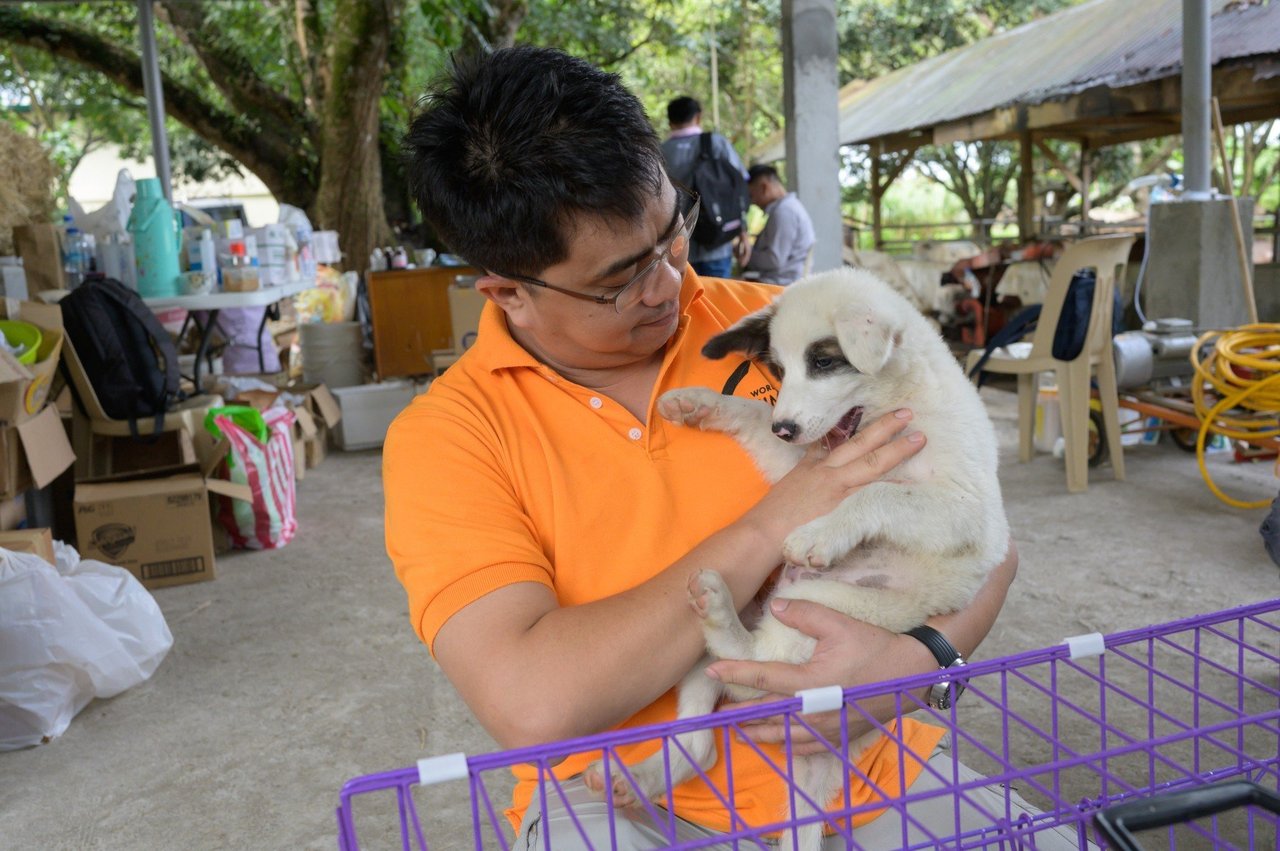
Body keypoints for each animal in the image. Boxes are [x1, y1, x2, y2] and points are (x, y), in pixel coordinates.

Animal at [586, 267, 1008, 849]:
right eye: (780, 370)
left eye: (824, 362)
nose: (785, 428)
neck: (900, 401)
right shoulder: (803, 459)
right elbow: (755, 414)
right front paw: (700, 403)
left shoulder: (972, 514)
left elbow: (878, 492)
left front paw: (820, 533)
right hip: (710, 645)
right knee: (705, 735)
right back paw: (634, 777)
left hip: (825, 603)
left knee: (753, 669)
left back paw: (720, 613)